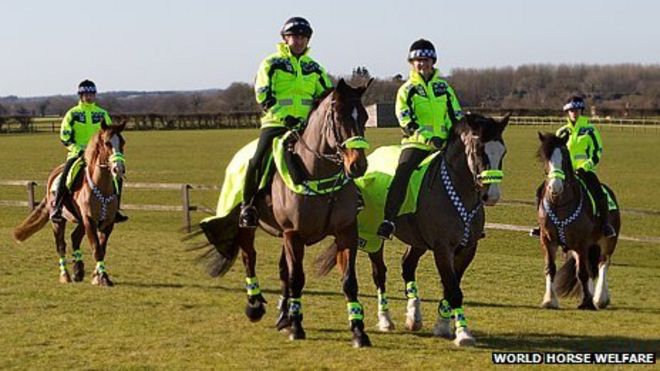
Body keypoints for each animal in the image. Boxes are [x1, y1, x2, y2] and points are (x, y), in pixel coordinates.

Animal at [12, 120, 126, 286]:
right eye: (107, 143)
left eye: (122, 142)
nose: (119, 169)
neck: (101, 187)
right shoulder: (89, 220)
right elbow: (96, 249)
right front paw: (102, 277)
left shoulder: (107, 222)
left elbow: (102, 248)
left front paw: (97, 276)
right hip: (59, 221)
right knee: (61, 245)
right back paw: (65, 275)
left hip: (81, 222)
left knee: (74, 237)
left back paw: (78, 271)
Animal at [193, 78, 374, 348]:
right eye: (339, 118)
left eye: (363, 116)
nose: (358, 165)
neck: (317, 174)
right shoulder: (294, 234)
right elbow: (297, 278)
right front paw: (297, 327)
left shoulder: (345, 233)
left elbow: (349, 281)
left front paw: (358, 331)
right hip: (248, 227)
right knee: (249, 259)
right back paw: (256, 306)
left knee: (282, 270)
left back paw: (284, 315)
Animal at [316, 112, 510, 346]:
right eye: (479, 150)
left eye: (502, 151)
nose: (492, 196)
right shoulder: (443, 248)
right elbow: (453, 289)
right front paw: (463, 333)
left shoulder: (467, 249)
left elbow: (451, 286)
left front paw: (442, 326)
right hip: (373, 238)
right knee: (379, 274)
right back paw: (386, 320)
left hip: (418, 240)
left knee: (407, 265)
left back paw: (414, 316)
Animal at [532, 134, 620, 310]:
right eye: (544, 158)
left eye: (565, 156)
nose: (555, 186)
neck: (560, 205)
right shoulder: (548, 240)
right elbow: (550, 269)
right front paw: (549, 300)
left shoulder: (582, 243)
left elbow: (583, 273)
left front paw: (587, 303)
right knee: (592, 268)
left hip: (607, 242)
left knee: (603, 264)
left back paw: (600, 298)